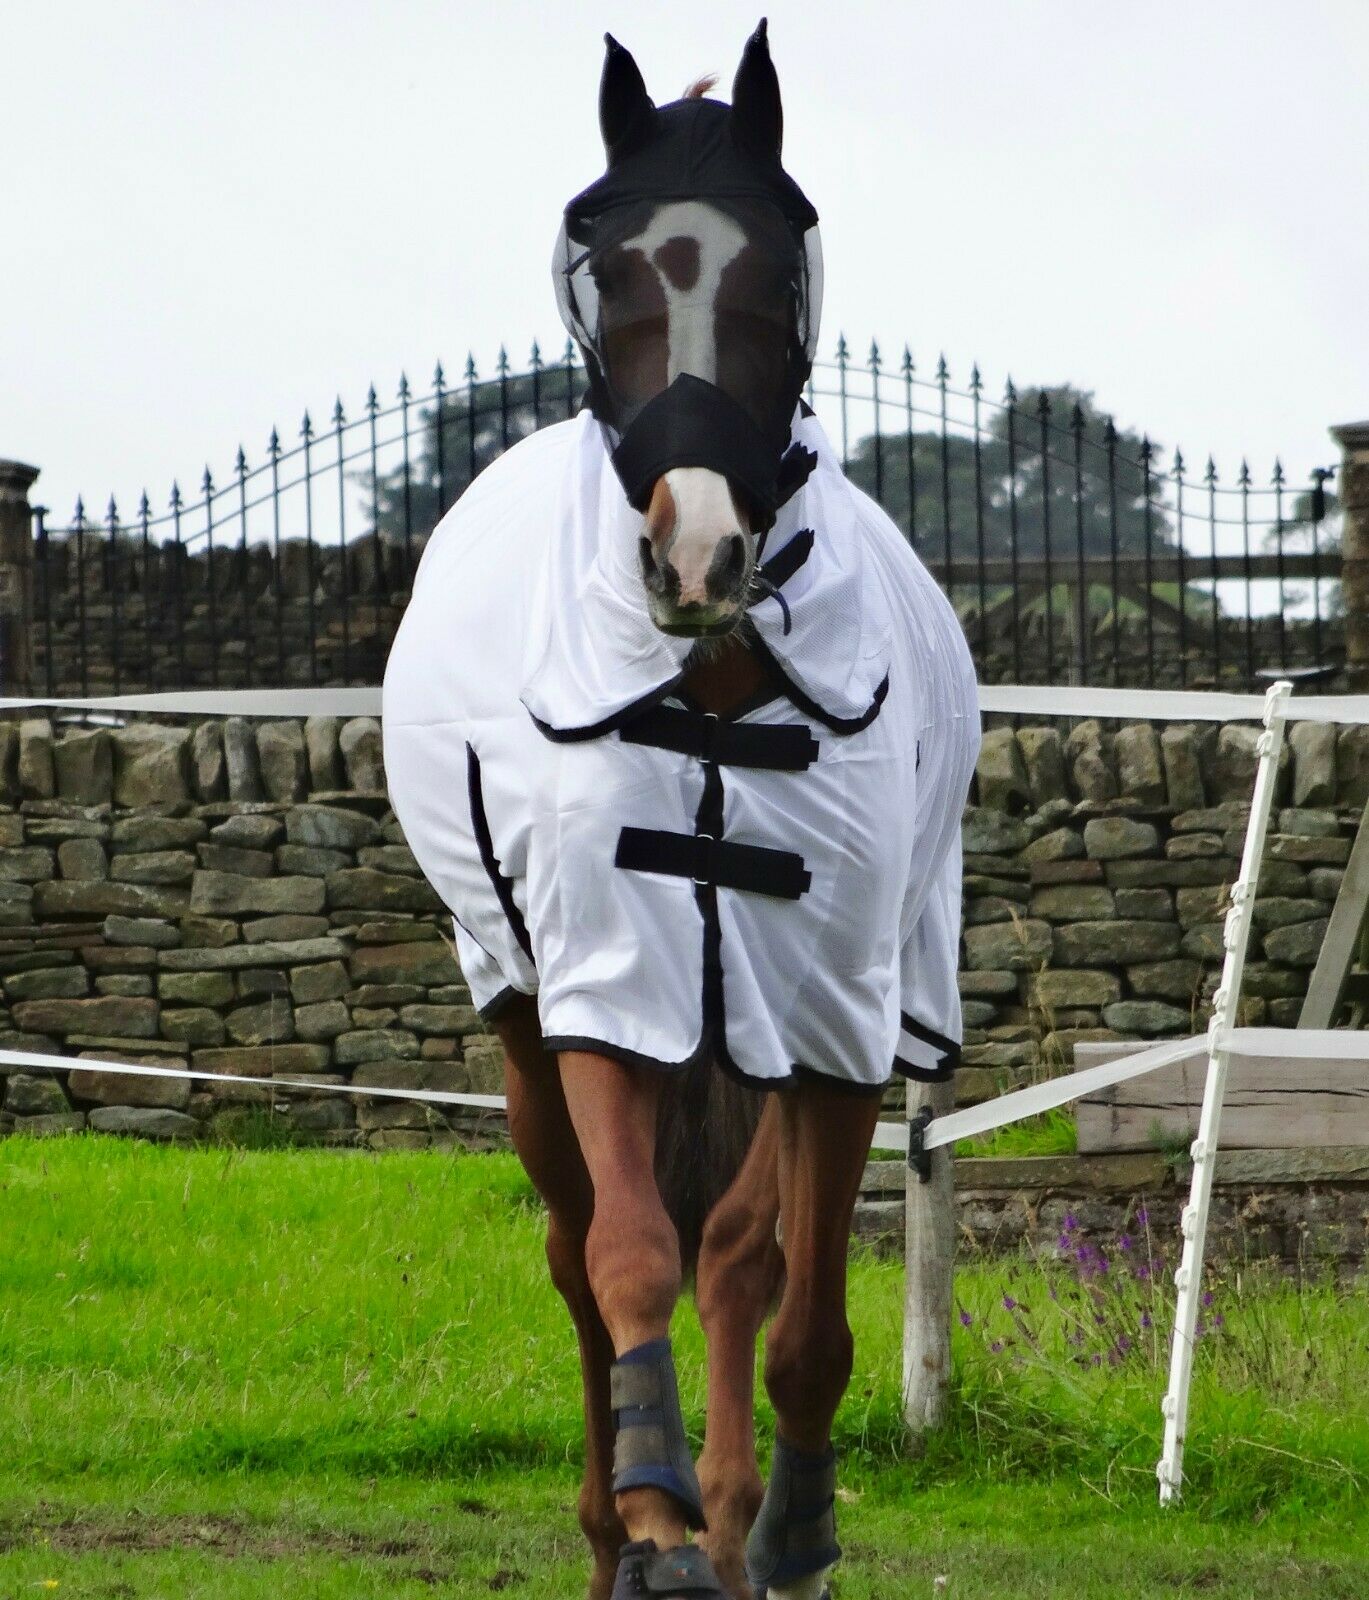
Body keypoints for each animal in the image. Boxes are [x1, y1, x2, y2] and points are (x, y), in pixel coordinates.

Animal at [379, 25, 978, 1600]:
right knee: (581, 1249)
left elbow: (785, 1295)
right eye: (603, 263)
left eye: (782, 265)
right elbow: (629, 1256)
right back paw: (621, 1528)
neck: (711, 680)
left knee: (732, 1254)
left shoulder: (830, 1014)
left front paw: (776, 1526)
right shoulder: (609, 977)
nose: (695, 549)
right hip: (524, 1012)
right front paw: (653, 1511)